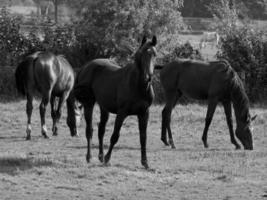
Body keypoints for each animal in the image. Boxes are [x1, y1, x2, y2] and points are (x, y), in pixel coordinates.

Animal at [73, 36, 157, 169]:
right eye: (141, 54)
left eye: (154, 54)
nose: (147, 77)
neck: (138, 86)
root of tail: (85, 67)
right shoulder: (122, 113)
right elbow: (115, 136)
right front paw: (108, 158)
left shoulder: (144, 113)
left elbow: (143, 138)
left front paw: (145, 162)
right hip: (89, 103)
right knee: (89, 130)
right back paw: (89, 157)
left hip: (104, 107)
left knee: (101, 130)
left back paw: (100, 156)